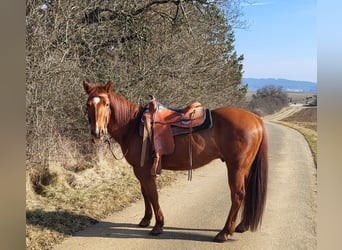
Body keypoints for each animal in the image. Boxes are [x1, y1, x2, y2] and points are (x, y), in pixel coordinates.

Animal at [82, 80, 268, 242]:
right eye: (88, 104)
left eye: (106, 104)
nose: (97, 132)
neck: (133, 126)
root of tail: (256, 119)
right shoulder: (140, 171)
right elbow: (145, 193)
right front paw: (145, 220)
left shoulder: (144, 171)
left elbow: (153, 195)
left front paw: (158, 226)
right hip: (245, 168)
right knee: (246, 193)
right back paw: (242, 225)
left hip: (236, 167)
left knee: (238, 195)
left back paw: (224, 233)